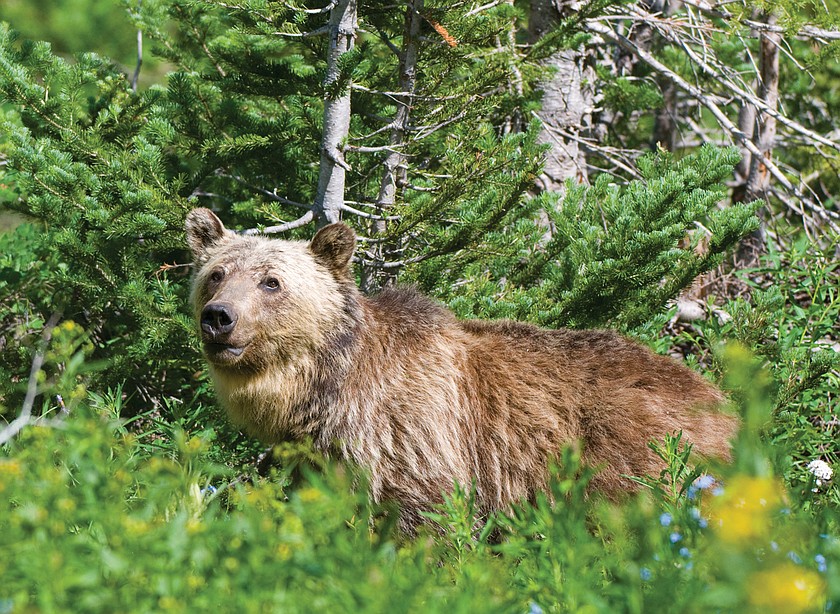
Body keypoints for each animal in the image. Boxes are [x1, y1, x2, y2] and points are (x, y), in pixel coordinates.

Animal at [185, 207, 738, 529]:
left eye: (271, 281)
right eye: (216, 273)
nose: (219, 317)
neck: (324, 387)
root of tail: (722, 401)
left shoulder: (413, 432)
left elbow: (426, 515)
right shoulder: (317, 455)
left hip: (632, 456)